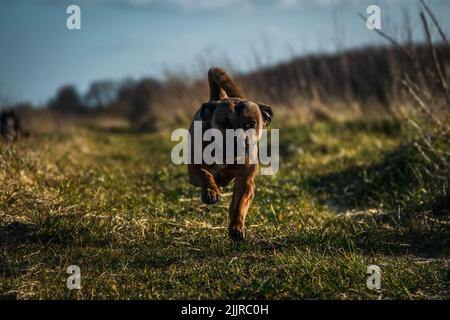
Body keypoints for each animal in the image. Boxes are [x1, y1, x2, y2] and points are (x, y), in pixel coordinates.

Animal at [188, 67, 272, 240]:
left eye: (252, 123)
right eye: (224, 123)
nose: (238, 141)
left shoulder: (246, 181)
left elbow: (239, 205)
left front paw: (237, 226)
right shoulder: (194, 169)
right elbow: (205, 173)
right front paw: (211, 191)